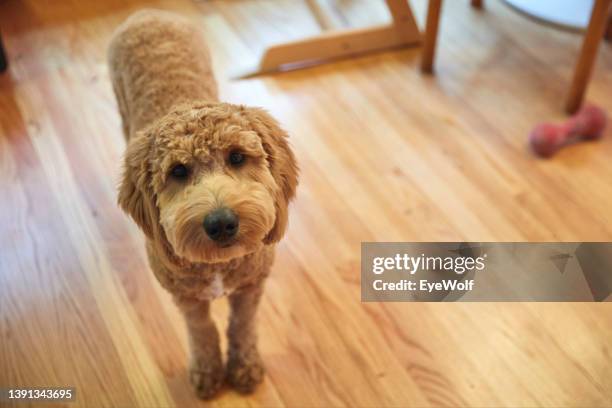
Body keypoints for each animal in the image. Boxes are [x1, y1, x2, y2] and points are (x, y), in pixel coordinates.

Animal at [107, 9, 298, 398]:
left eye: (237, 157)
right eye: (178, 171)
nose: (221, 222)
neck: (219, 266)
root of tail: (146, 13)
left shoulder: (251, 287)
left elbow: (242, 326)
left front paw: (244, 366)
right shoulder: (186, 298)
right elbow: (202, 331)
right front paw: (208, 371)